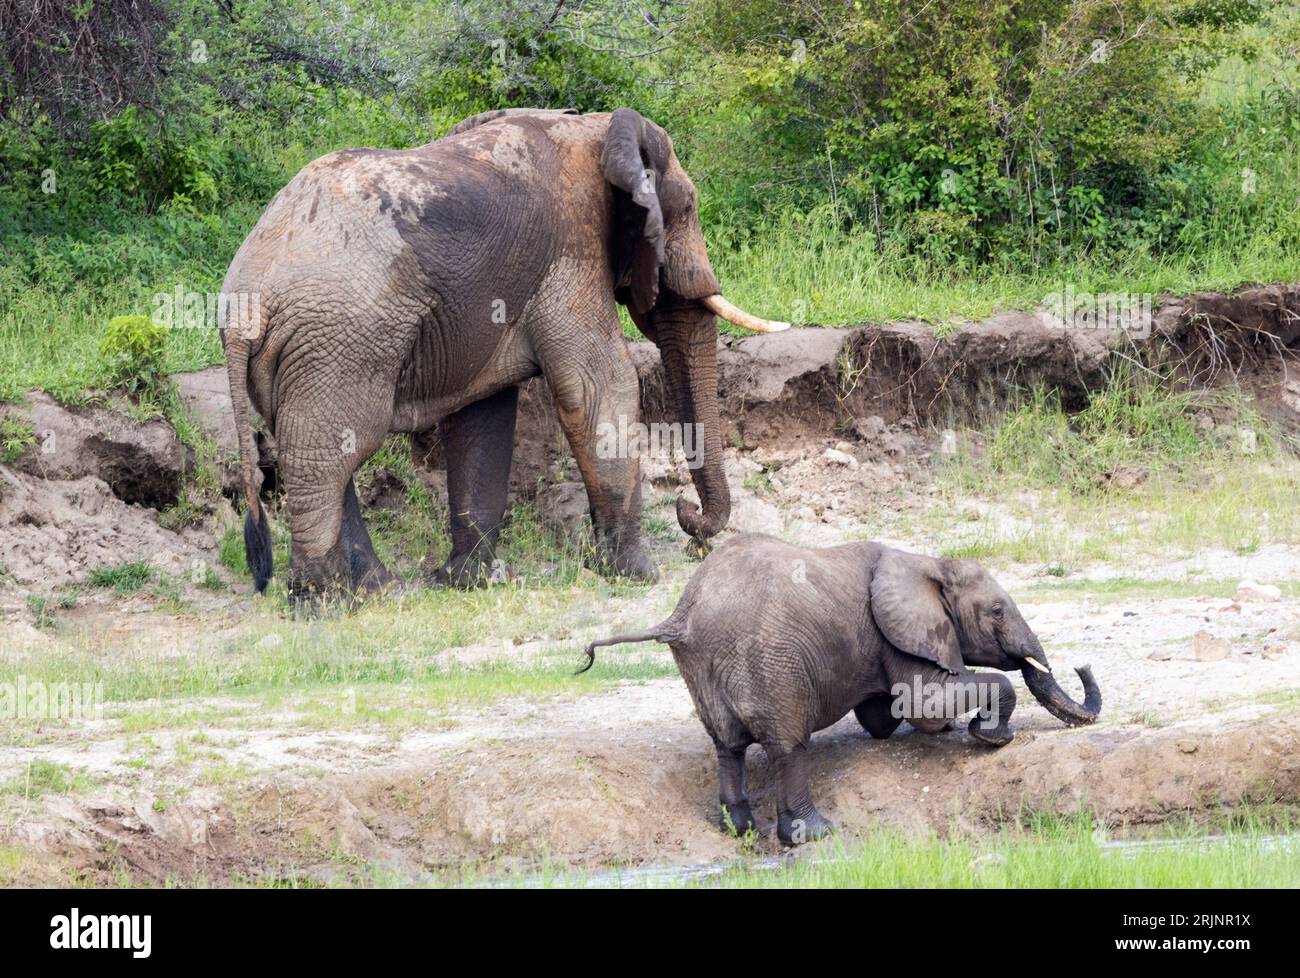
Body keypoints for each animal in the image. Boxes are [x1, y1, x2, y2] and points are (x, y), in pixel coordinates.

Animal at [219, 106, 785, 595]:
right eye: (686, 207)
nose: (690, 519)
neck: (599, 129)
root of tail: (243, 303)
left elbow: (483, 413)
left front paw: (470, 582)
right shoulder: (572, 248)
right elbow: (601, 385)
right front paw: (635, 574)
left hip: (307, 351)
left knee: (323, 450)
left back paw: (377, 592)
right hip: (340, 338)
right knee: (331, 452)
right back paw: (327, 601)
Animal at [585, 530, 1102, 842]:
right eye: (996, 611)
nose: (1081, 665)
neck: (927, 561)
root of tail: (681, 615)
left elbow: (884, 715)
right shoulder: (896, 633)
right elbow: (922, 703)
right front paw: (990, 737)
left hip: (703, 669)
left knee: (727, 746)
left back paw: (741, 830)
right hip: (770, 662)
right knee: (788, 746)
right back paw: (814, 834)